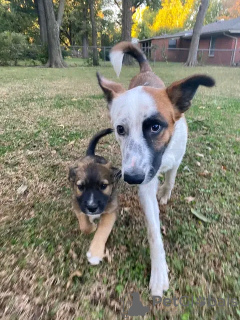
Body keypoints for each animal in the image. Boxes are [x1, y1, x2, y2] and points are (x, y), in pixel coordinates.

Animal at [69, 128, 121, 264]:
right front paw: (91, 226)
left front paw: (95, 253)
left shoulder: (110, 212)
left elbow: (103, 230)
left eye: (103, 186)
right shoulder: (77, 204)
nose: (92, 208)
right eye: (80, 187)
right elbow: (84, 225)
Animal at [96, 42, 215, 298]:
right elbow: (153, 231)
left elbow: (171, 178)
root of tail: (146, 70)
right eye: (120, 129)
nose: (132, 178)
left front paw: (166, 193)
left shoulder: (175, 159)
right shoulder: (145, 181)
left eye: (155, 127)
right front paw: (159, 271)